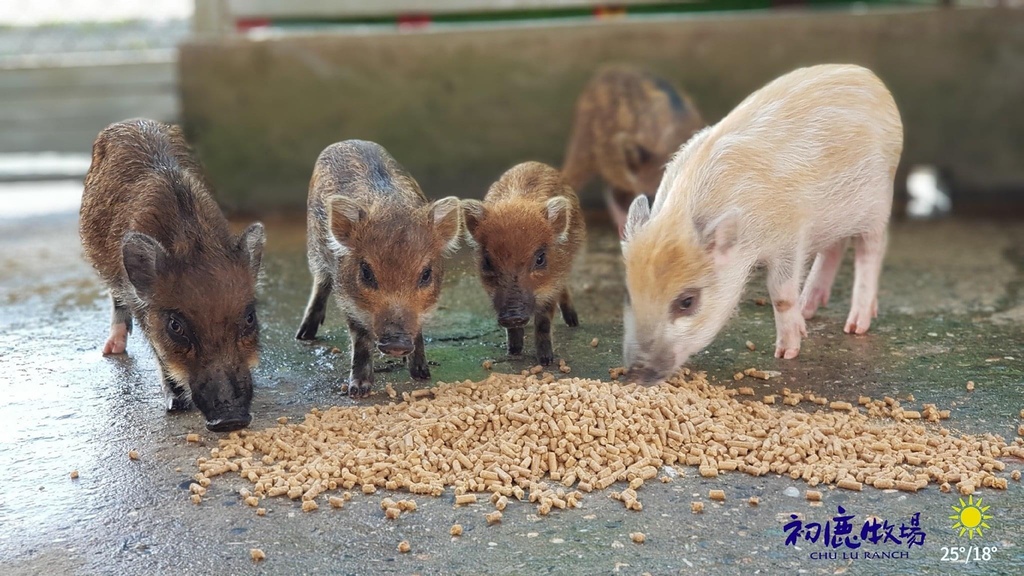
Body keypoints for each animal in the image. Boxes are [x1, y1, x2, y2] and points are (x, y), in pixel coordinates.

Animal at [618, 63, 901, 381]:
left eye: (687, 302)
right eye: (628, 294)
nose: (635, 372)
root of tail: (869, 77)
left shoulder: (789, 236)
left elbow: (781, 294)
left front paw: (786, 353)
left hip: (879, 204)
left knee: (870, 252)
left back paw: (855, 326)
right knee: (834, 249)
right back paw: (809, 309)